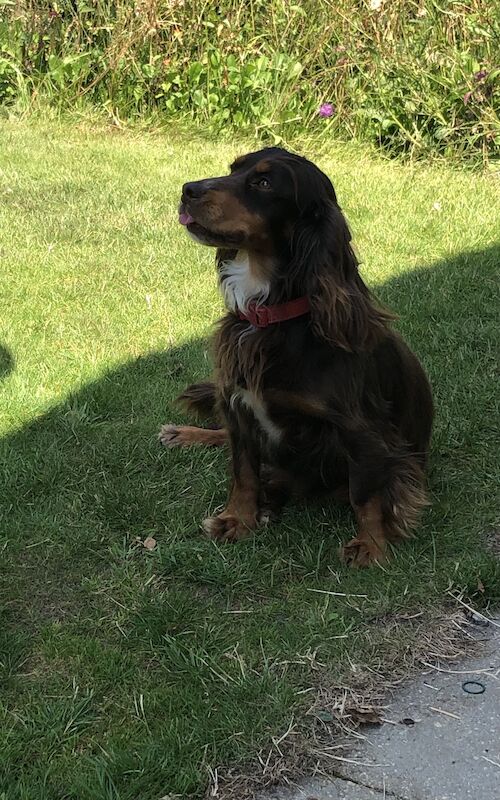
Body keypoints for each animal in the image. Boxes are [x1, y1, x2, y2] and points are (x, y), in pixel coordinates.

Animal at [160, 147, 434, 564]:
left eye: (263, 182)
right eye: (232, 169)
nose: (187, 189)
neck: (272, 315)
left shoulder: (361, 430)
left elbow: (365, 494)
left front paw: (371, 544)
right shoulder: (238, 404)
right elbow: (242, 471)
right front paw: (238, 519)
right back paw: (184, 434)